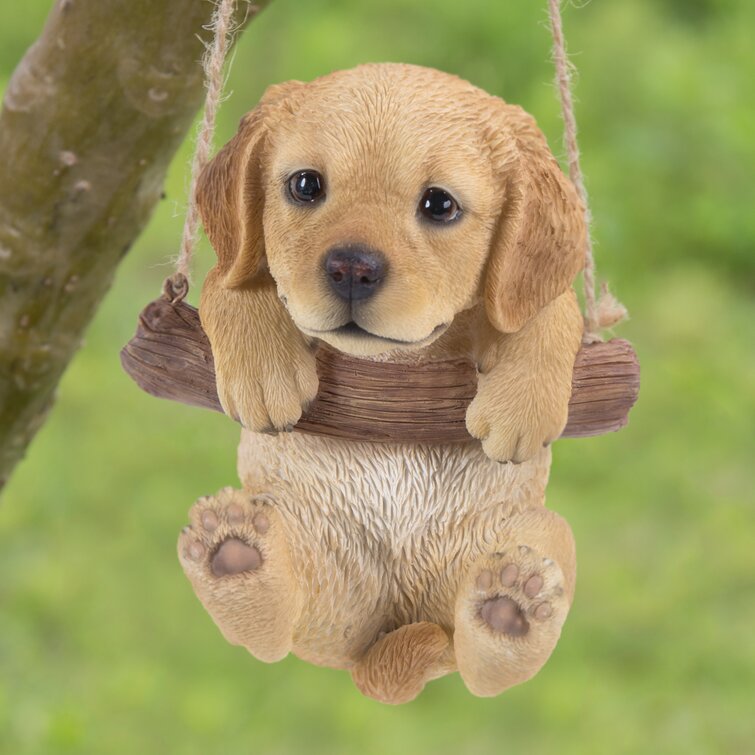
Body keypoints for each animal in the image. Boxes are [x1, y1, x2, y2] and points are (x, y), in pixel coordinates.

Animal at [177, 63, 584, 704]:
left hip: (533, 532)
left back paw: (510, 609)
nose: (351, 268)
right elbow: (232, 277)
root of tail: (377, 645)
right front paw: (265, 373)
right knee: (277, 632)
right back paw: (236, 560)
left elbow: (549, 305)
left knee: (485, 661)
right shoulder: (240, 268)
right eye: (305, 186)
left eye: (439, 204)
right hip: (308, 550)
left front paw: (520, 408)